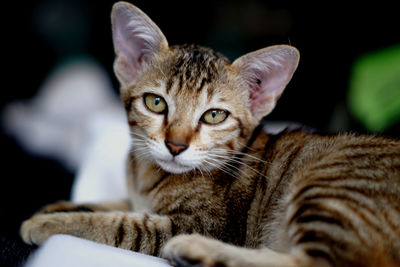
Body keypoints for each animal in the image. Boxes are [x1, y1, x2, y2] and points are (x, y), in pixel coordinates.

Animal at [21, 2, 400, 267]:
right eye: (156, 103)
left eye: (214, 115)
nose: (175, 145)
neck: (148, 177)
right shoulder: (138, 197)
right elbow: (121, 204)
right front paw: (62, 206)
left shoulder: (207, 223)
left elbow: (125, 225)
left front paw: (52, 223)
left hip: (330, 183)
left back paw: (195, 251)